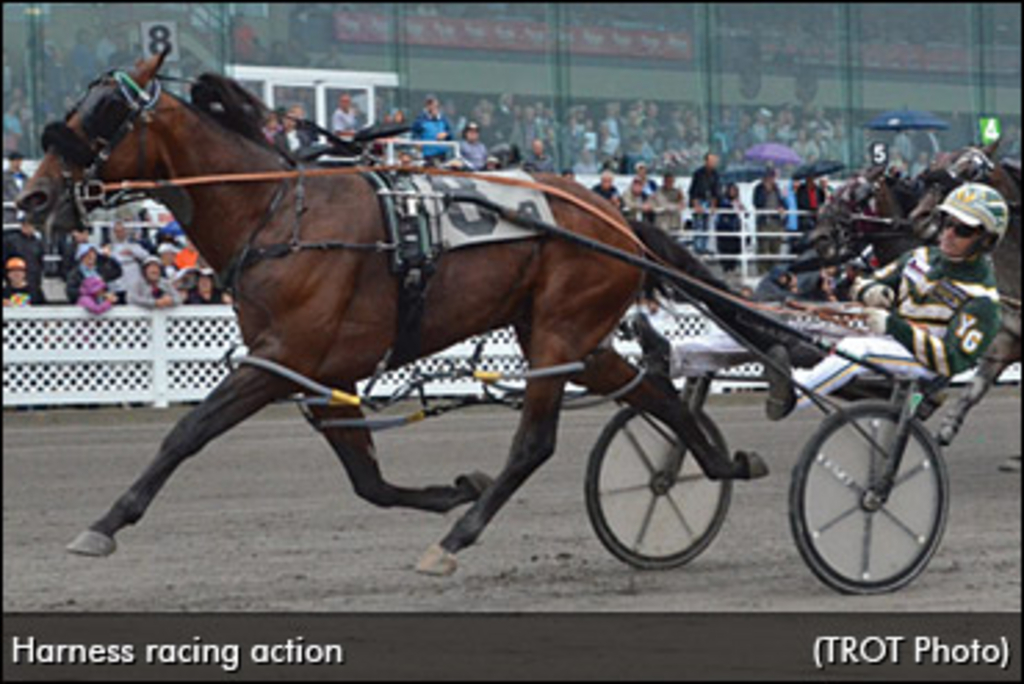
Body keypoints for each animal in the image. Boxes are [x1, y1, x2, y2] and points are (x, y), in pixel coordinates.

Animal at [18, 54, 770, 577]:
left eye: (103, 114)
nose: (33, 196)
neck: (279, 215)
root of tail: (615, 216)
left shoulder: (282, 360)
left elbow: (186, 433)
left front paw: (105, 523)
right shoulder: (322, 377)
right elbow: (369, 482)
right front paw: (454, 488)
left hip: (562, 329)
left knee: (537, 442)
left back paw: (456, 541)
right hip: (570, 334)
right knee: (653, 389)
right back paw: (711, 463)